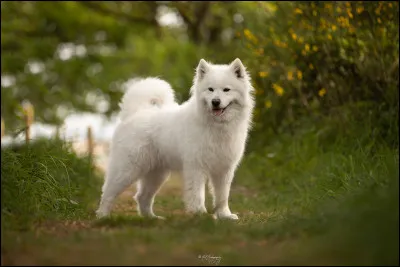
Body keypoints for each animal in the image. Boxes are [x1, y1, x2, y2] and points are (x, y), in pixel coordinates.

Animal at [95, 58, 255, 220]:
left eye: (226, 90)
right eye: (210, 89)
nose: (215, 101)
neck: (217, 127)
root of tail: (135, 113)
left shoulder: (224, 170)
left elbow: (222, 196)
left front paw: (224, 215)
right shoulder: (196, 167)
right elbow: (197, 195)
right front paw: (200, 214)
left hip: (157, 174)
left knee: (142, 197)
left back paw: (152, 218)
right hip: (127, 169)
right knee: (108, 192)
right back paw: (102, 216)